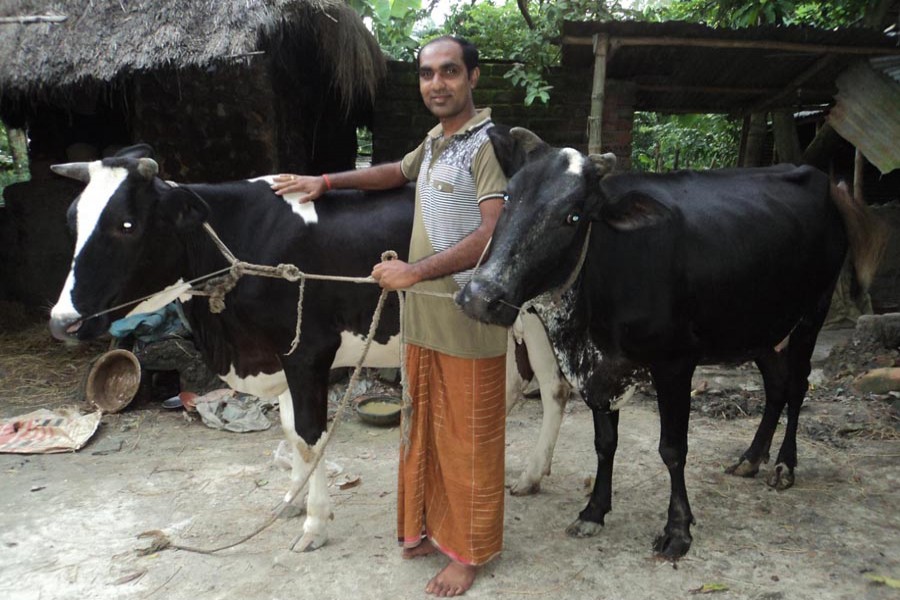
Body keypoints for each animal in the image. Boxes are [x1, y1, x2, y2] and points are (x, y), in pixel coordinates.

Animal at [47, 143, 568, 552]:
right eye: (72, 220)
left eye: (127, 225)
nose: (61, 321)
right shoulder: (279, 357)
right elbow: (291, 431)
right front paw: (292, 501)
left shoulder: (308, 353)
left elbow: (312, 433)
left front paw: (315, 522)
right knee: (519, 385)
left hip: (538, 313)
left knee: (552, 388)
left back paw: (528, 474)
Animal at [458, 129, 884, 560]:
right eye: (507, 197)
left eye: (573, 216)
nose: (480, 296)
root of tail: (823, 180)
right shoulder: (602, 371)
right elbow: (605, 443)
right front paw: (594, 512)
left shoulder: (675, 363)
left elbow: (672, 449)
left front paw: (677, 530)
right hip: (757, 327)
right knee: (777, 387)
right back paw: (750, 459)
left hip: (813, 311)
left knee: (797, 386)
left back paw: (784, 465)